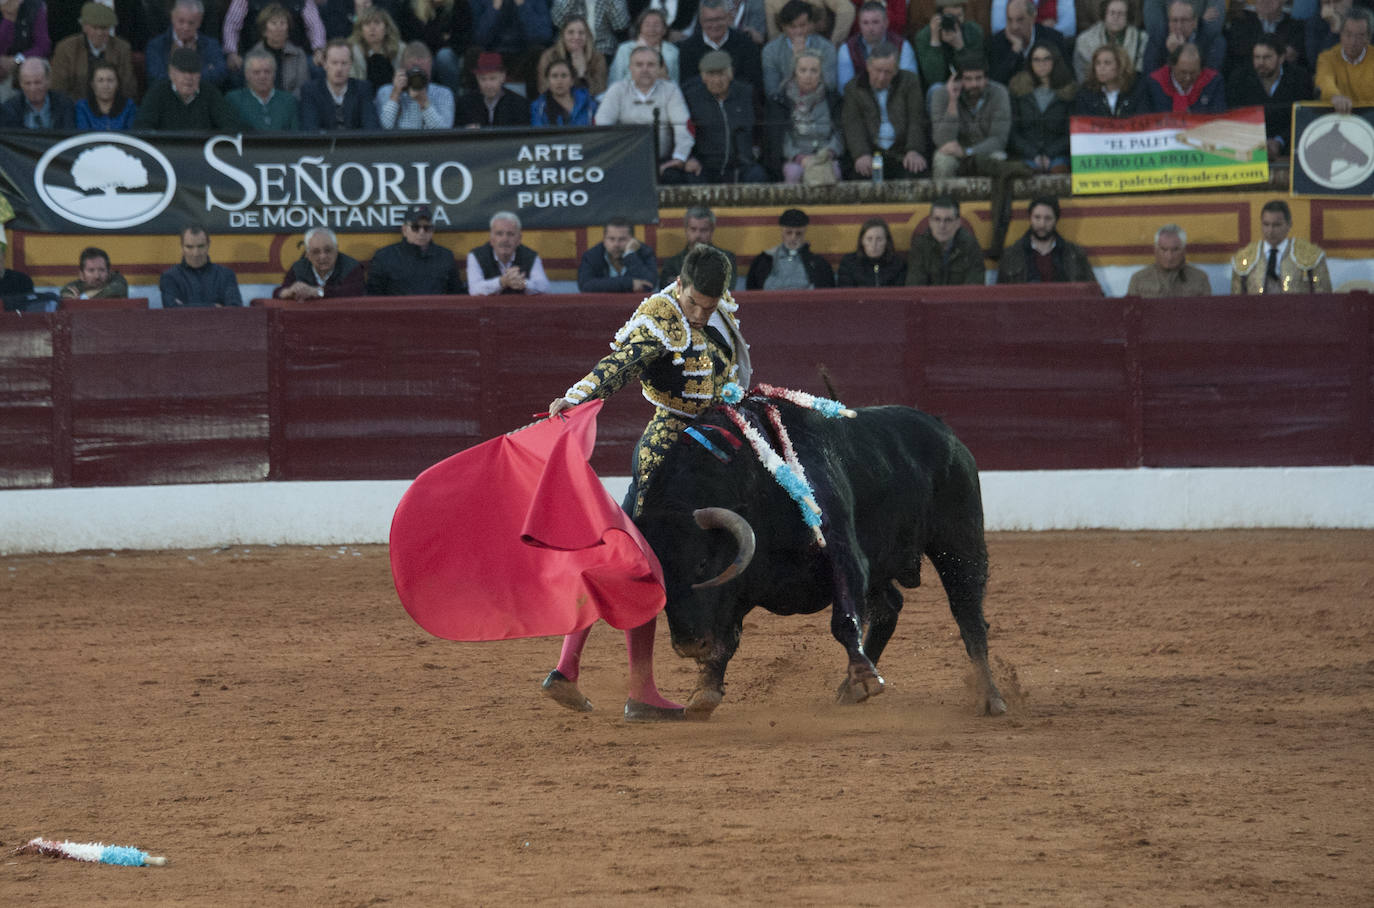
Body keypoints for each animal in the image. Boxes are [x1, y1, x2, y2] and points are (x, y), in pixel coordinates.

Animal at [634, 401, 1011, 719]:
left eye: (701, 564)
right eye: (656, 576)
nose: (688, 645)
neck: (757, 485)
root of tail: (944, 431)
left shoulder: (845, 554)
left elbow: (843, 621)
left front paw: (864, 676)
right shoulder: (738, 586)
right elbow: (727, 635)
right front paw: (704, 691)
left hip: (959, 541)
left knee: (967, 612)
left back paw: (990, 696)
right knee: (889, 607)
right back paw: (850, 688)